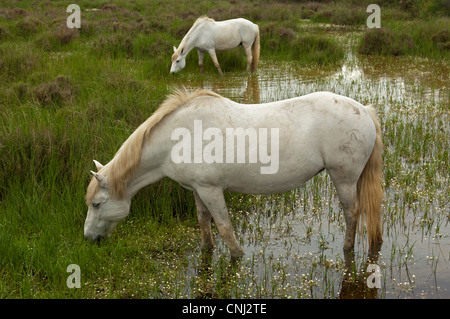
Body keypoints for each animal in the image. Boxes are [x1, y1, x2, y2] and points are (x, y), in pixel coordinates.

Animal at [85, 89, 384, 258]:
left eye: (97, 204)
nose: (88, 238)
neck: (177, 138)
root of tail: (364, 110)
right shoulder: (198, 189)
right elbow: (203, 221)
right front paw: (207, 249)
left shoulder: (211, 189)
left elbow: (225, 227)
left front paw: (236, 255)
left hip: (343, 178)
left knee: (351, 213)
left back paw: (347, 250)